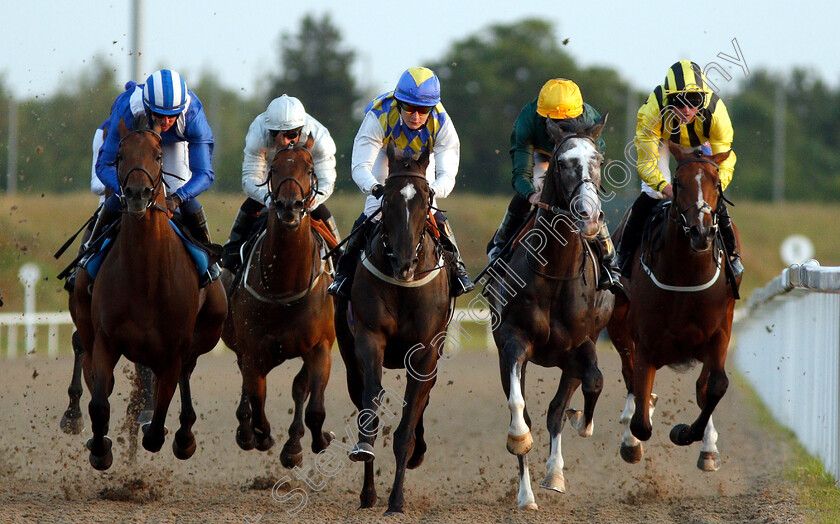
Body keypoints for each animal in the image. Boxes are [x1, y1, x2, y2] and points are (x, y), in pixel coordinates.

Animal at [221, 135, 336, 466]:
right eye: (273, 167)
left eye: (309, 168)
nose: (289, 206)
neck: (284, 286)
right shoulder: (253, 351)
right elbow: (258, 402)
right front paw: (259, 435)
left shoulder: (320, 347)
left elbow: (314, 407)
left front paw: (311, 442)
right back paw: (248, 431)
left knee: (299, 388)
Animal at [336, 143, 452, 516]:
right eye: (385, 198)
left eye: (426, 198)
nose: (404, 263)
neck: (403, 286)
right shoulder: (369, 338)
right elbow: (371, 401)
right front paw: (365, 451)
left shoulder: (426, 352)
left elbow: (407, 424)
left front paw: (397, 501)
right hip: (349, 359)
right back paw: (368, 493)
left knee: (422, 406)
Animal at [486, 115, 616, 508]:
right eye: (562, 162)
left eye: (598, 160)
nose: (589, 215)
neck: (556, 271)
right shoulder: (513, 342)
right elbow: (519, 409)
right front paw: (519, 443)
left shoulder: (582, 344)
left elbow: (593, 383)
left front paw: (580, 421)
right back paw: (527, 494)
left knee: (558, 409)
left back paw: (555, 474)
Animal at [608, 142, 740, 470]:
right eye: (678, 183)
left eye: (716, 184)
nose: (701, 232)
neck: (685, 275)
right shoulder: (645, 343)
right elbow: (641, 420)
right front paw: (637, 435)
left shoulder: (719, 332)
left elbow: (716, 386)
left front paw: (687, 433)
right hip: (618, 324)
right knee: (630, 378)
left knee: (703, 387)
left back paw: (707, 447)